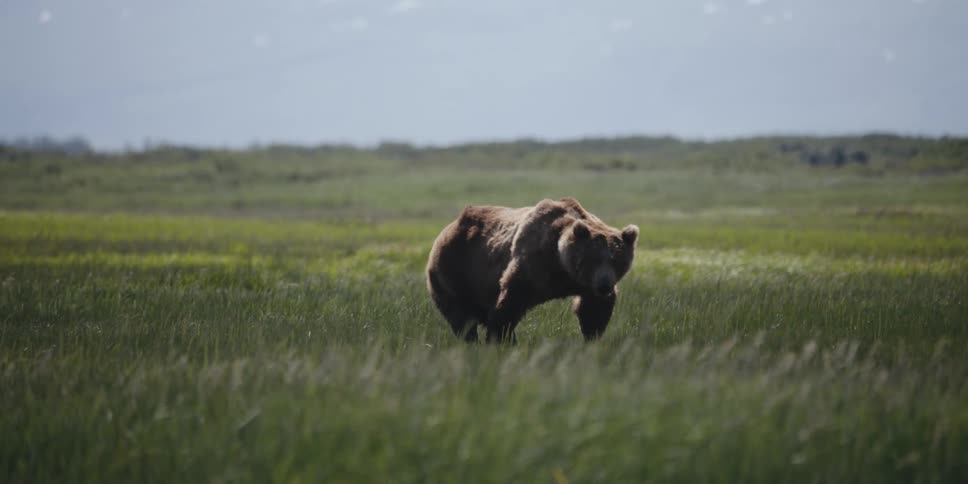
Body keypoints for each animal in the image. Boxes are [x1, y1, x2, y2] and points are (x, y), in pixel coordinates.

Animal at [426, 197, 638, 343]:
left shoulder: (586, 284)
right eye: (592, 259)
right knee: (461, 317)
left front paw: (592, 336)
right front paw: (499, 338)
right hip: (453, 269)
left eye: (616, 259)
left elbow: (594, 310)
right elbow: (510, 302)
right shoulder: (533, 265)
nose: (605, 285)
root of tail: (447, 228)